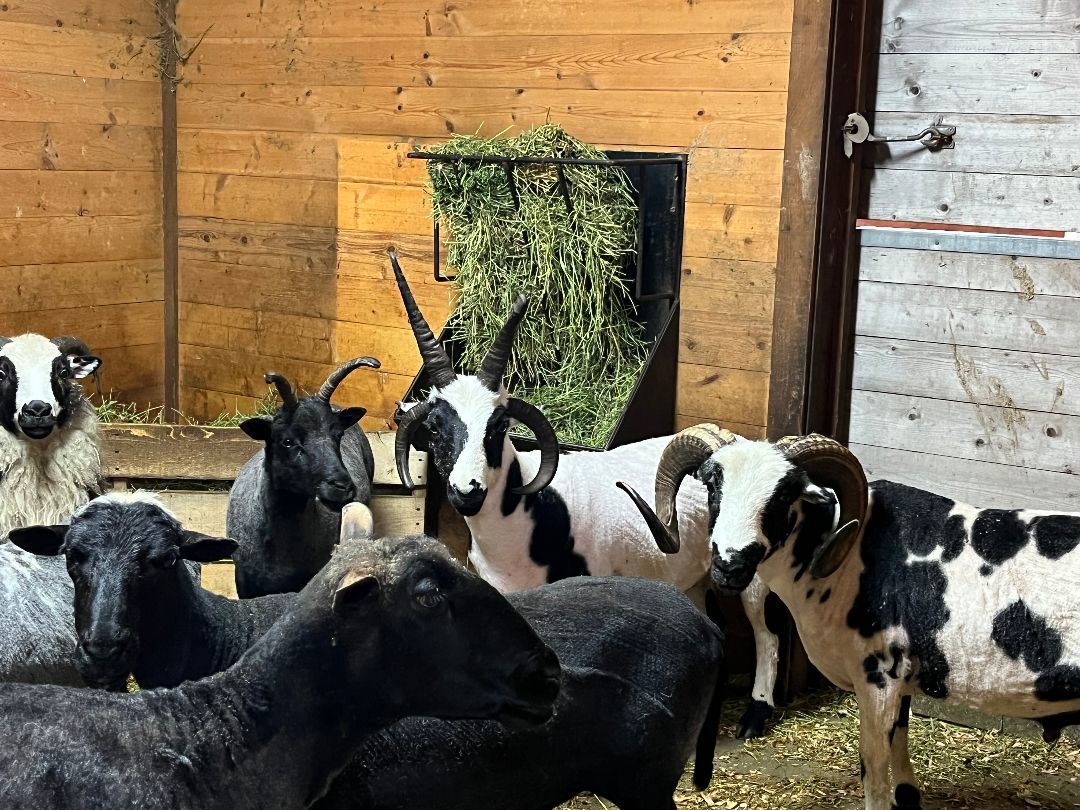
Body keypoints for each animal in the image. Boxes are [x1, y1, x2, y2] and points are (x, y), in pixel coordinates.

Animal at [388, 247, 779, 738]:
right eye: (437, 428)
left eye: (496, 428)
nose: (466, 492)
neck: (531, 516)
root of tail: (738, 446)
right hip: (692, 575)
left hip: (752, 566)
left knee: (767, 631)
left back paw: (756, 714)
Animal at [620, 425, 1080, 810]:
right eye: (713, 483)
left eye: (784, 495)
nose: (729, 565)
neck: (846, 556)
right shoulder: (901, 678)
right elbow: (900, 749)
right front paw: (909, 797)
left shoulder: (878, 676)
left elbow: (873, 770)